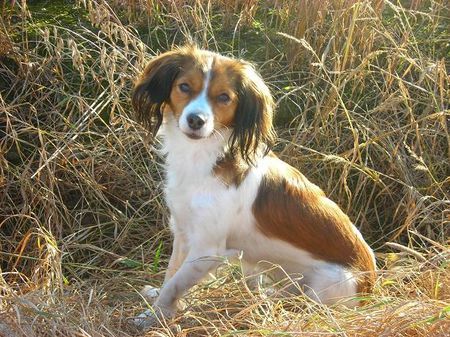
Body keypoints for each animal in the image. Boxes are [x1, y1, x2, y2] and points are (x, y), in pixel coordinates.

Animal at [131, 45, 376, 328]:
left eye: (224, 97)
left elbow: (174, 285)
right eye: (184, 86)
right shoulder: (183, 232)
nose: (196, 120)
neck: (202, 157)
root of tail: (370, 285)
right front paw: (162, 303)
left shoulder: (207, 249)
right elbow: (171, 274)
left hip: (328, 286)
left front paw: (152, 315)